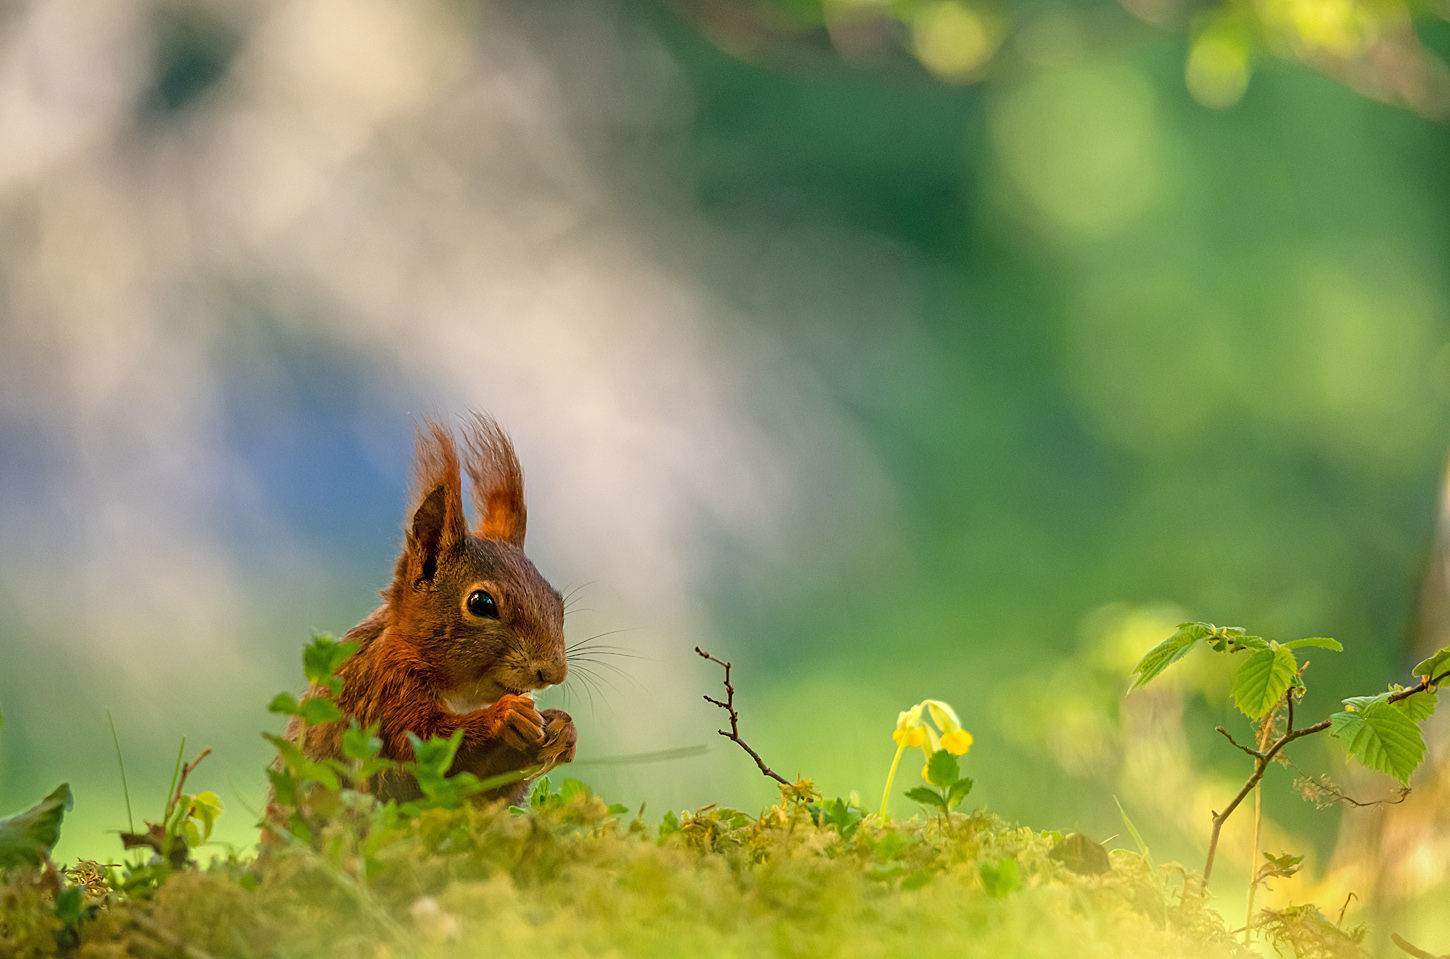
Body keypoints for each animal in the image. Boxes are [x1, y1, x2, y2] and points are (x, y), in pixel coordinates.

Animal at [272, 412, 571, 806]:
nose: (553, 671)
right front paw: (505, 715)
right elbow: (419, 747)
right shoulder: (388, 688)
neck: (465, 693)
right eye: (481, 603)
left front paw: (564, 728)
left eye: (557, 600)